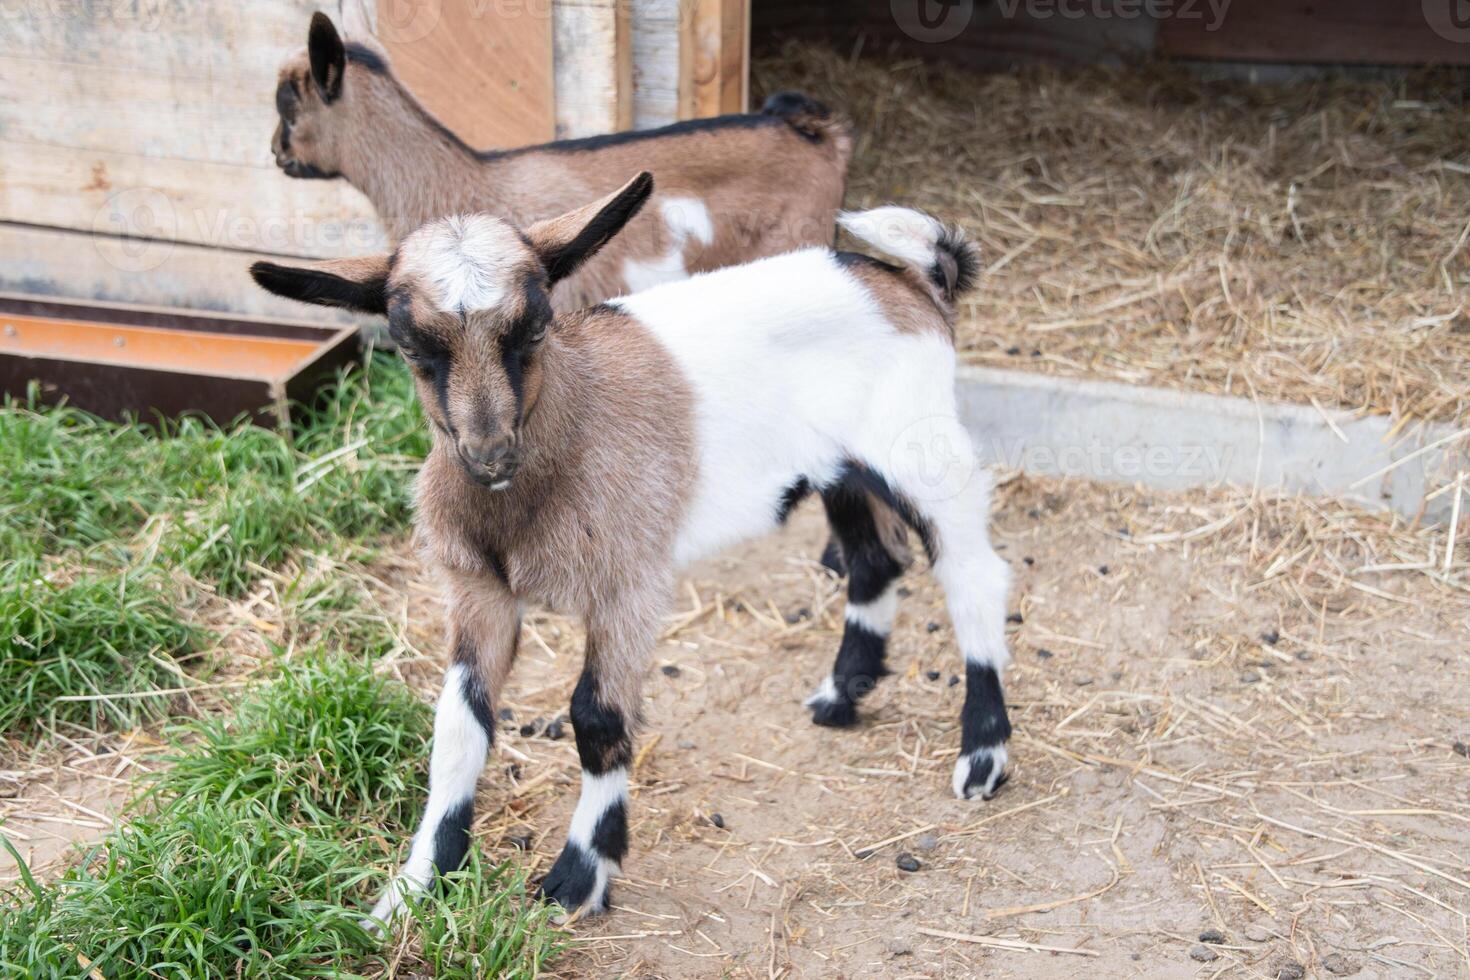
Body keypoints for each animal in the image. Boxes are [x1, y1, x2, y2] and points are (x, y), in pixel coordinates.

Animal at [252, 174, 1011, 928]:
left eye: (535, 325)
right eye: (412, 346)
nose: (490, 454)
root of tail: (913, 280)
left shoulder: (629, 584)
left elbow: (596, 717)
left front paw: (579, 876)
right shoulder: (479, 592)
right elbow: (459, 728)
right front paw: (413, 887)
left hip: (920, 447)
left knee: (973, 575)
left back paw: (983, 756)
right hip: (841, 465)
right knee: (874, 560)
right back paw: (841, 697)